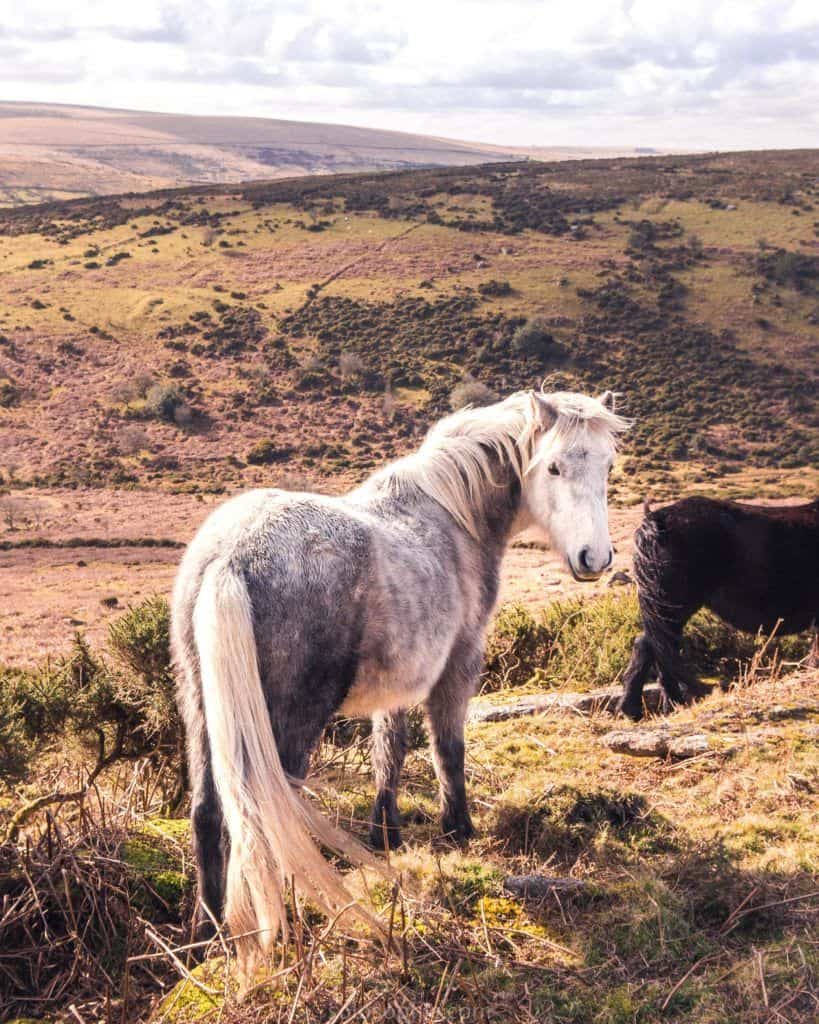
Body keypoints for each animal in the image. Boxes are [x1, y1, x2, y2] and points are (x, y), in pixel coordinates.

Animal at [171, 388, 628, 966]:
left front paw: (385, 832)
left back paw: (204, 937)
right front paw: (457, 830)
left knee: (208, 813)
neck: (453, 515)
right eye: (553, 467)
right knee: (269, 815)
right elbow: (446, 748)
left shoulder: (398, 679)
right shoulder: (458, 662)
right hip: (290, 724)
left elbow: (389, 749)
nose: (595, 558)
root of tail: (231, 557)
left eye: (608, 465)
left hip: (200, 709)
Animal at [619, 496, 819, 721]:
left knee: (655, 648)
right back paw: (645, 708)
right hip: (672, 606)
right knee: (653, 647)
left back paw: (660, 706)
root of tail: (655, 519)